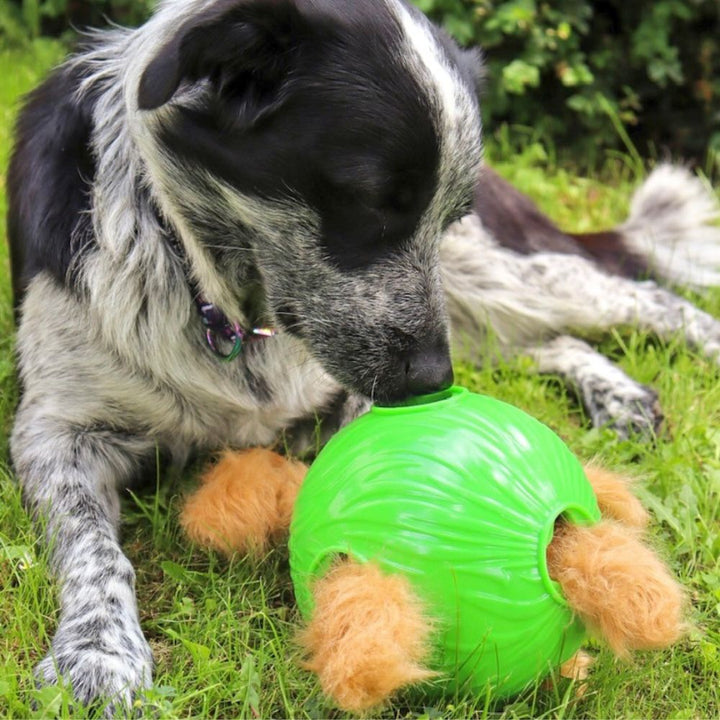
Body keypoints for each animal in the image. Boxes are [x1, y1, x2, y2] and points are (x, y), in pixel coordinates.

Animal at [5, 0, 720, 712]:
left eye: (448, 215)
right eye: (371, 200)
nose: (435, 382)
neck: (226, 308)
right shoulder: (56, 430)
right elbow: (93, 548)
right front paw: (98, 654)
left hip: (494, 272)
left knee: (641, 294)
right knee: (553, 337)